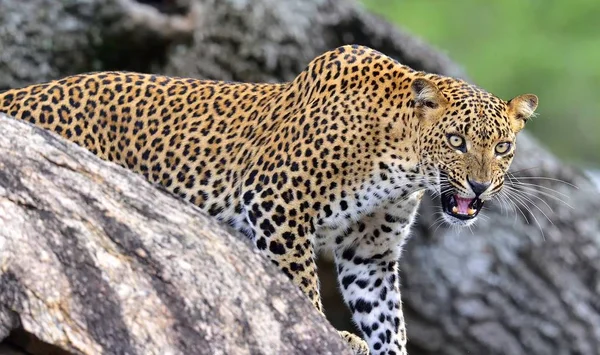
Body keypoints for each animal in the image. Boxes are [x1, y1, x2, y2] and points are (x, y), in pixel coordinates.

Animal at [0, 45, 536, 355]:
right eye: (456, 141)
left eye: (502, 147)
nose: (480, 187)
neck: (401, 162)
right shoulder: (279, 204)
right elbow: (300, 286)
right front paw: (332, 335)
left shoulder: (370, 253)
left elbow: (387, 319)